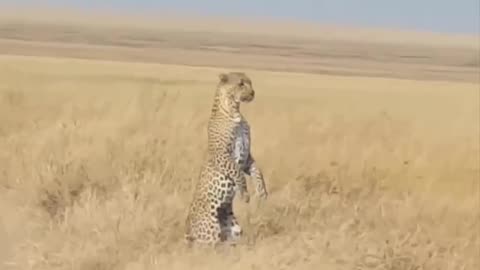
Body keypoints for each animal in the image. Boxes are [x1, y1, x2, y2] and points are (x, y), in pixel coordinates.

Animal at [184, 71, 268, 247]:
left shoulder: (247, 158)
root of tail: (187, 231)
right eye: (241, 84)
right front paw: (245, 194)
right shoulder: (222, 155)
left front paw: (262, 191)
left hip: (234, 228)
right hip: (210, 229)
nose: (253, 92)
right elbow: (237, 172)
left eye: (250, 83)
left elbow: (257, 171)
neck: (234, 111)